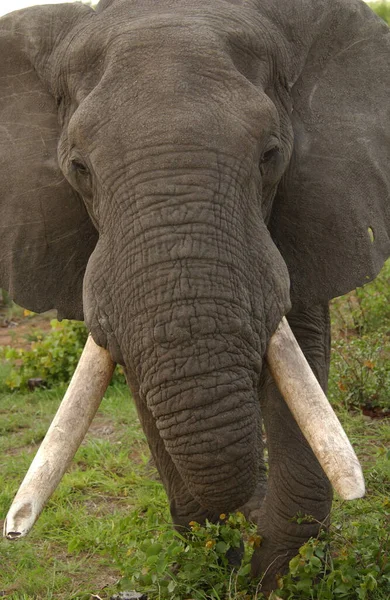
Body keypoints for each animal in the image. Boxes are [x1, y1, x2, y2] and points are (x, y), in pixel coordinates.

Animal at [0, 0, 388, 592]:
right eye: (78, 169)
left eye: (271, 154)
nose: (13, 530)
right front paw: (217, 566)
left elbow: (302, 349)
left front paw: (278, 580)